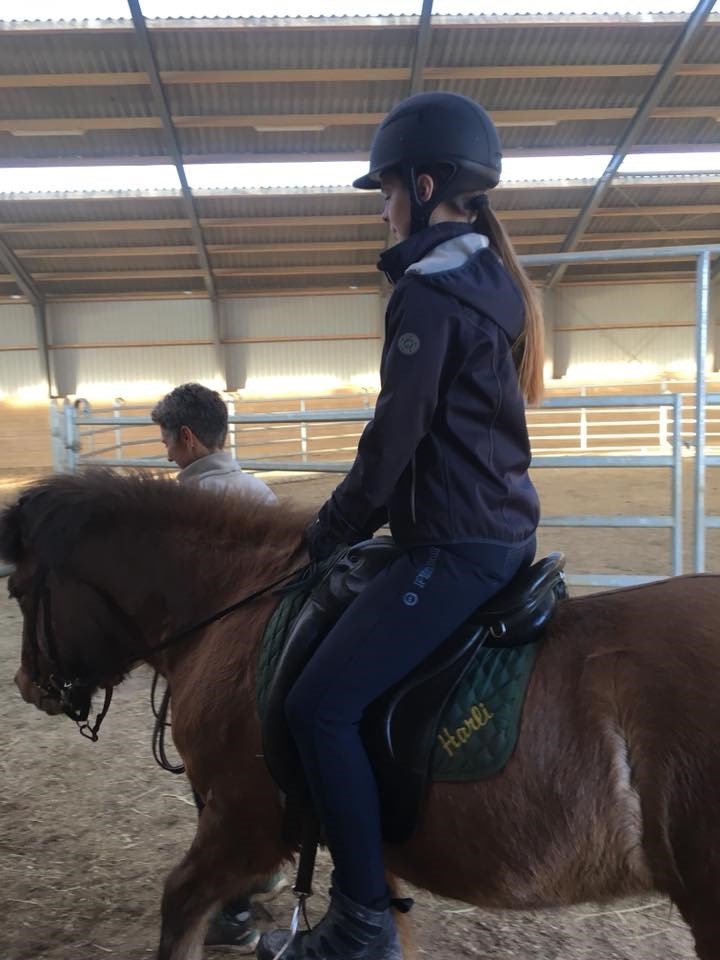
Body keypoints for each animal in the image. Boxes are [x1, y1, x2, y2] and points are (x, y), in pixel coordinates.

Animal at [3, 470, 720, 960]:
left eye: (17, 589)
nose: (27, 684)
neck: (235, 603)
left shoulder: (243, 820)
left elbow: (179, 906)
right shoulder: (366, 841)